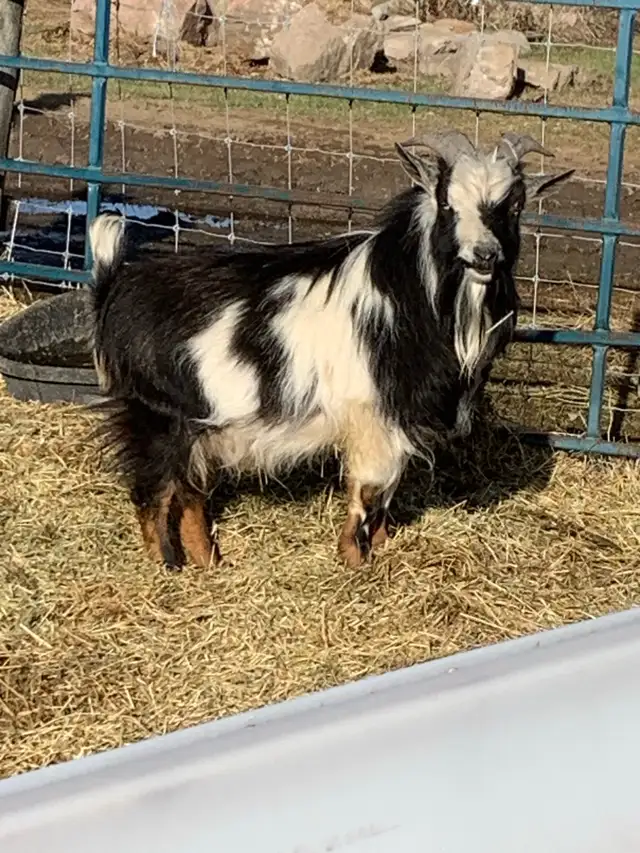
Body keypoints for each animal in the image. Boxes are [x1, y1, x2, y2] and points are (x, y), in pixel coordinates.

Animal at [90, 130, 573, 570]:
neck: (413, 292)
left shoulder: (396, 422)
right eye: (447, 203)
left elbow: (388, 493)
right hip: (158, 417)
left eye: (514, 205)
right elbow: (369, 490)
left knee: (189, 492)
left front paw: (380, 547)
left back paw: (209, 561)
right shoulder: (372, 417)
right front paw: (353, 560)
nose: (484, 255)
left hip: (200, 427)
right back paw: (168, 564)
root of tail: (116, 286)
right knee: (152, 490)